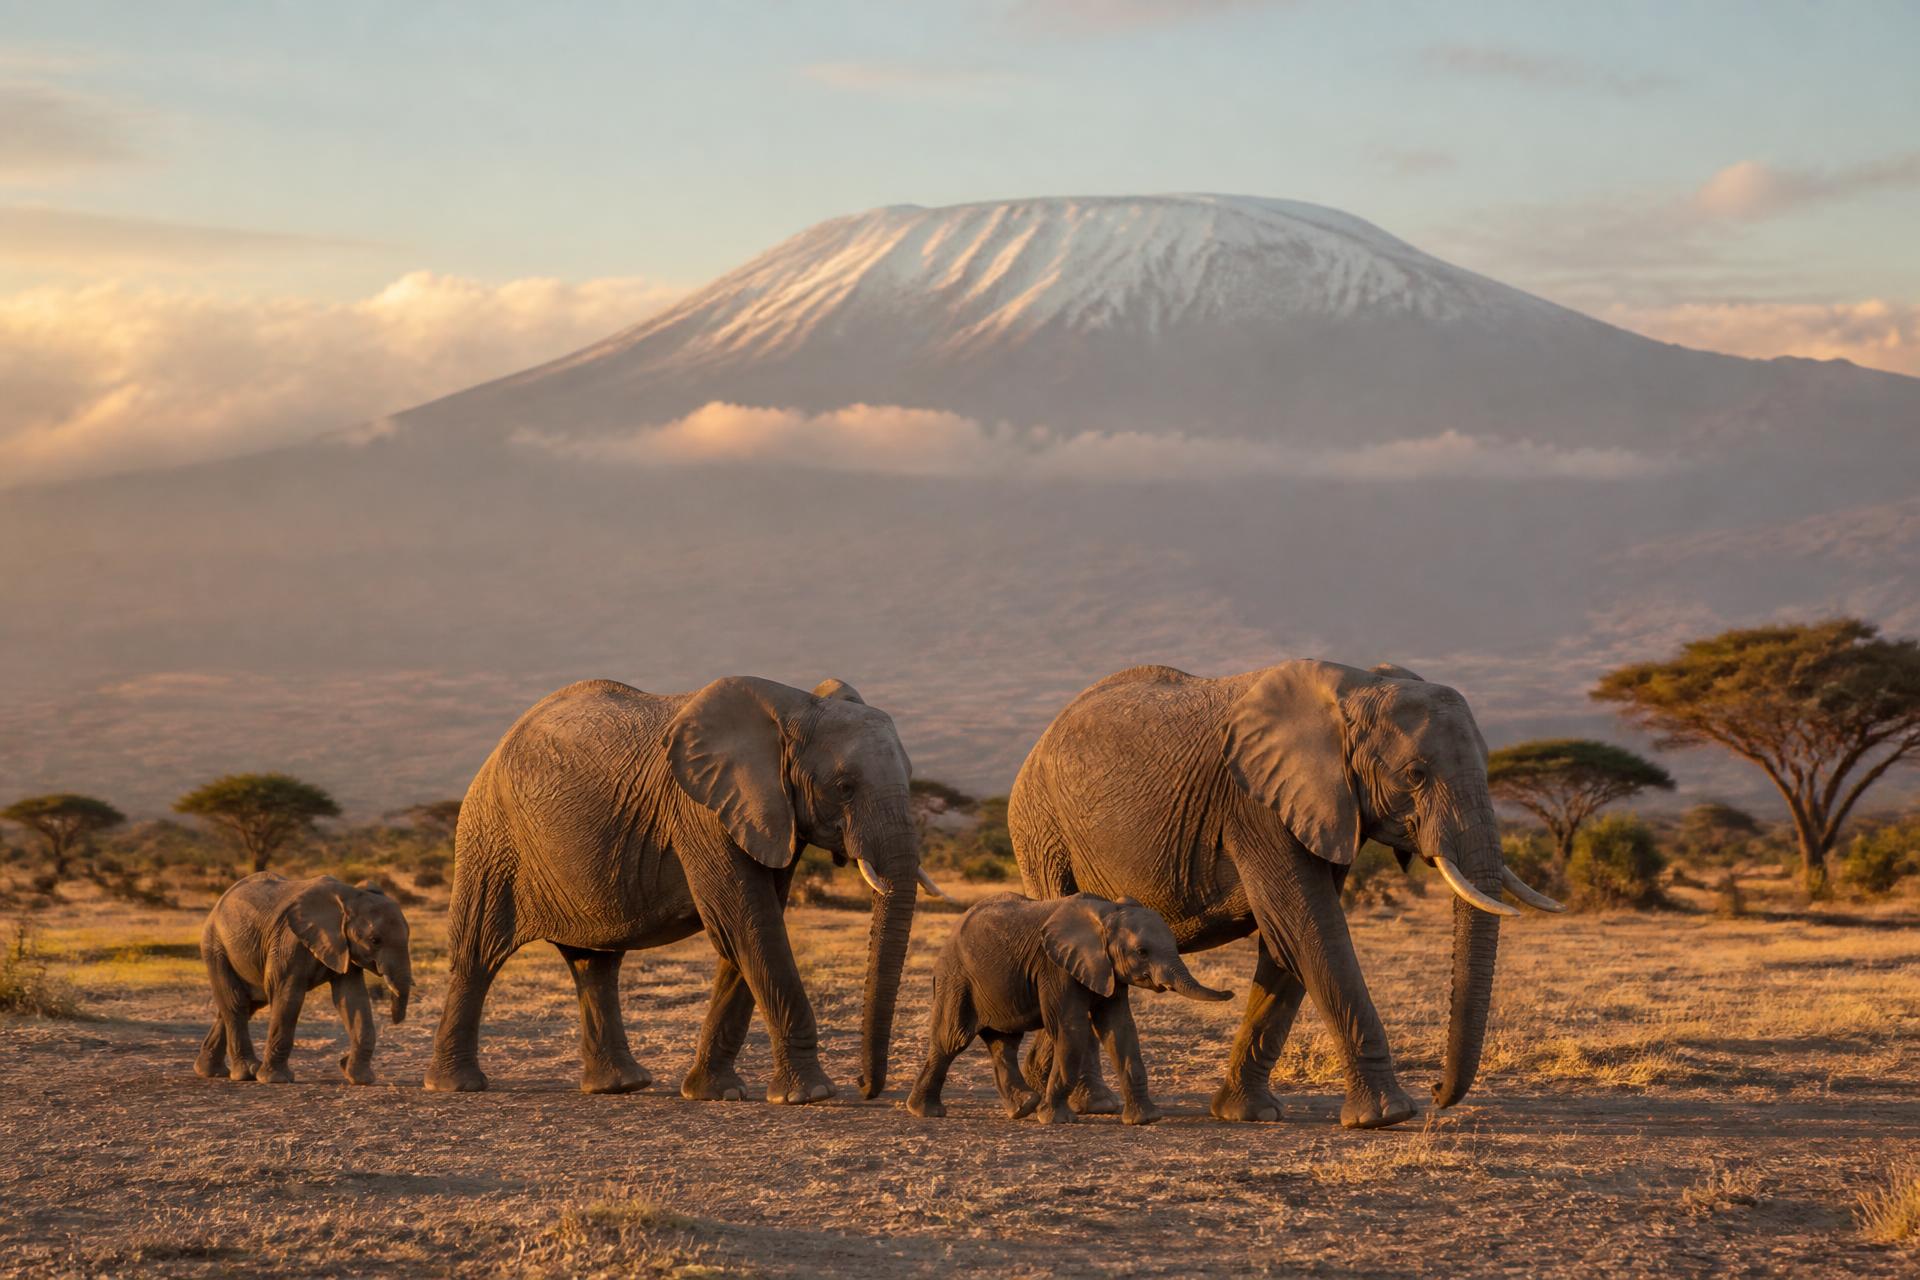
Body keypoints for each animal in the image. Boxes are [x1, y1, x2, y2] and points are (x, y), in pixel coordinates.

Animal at [197, 873, 413, 1085]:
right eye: (375, 940)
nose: (342, 1061)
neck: (349, 896)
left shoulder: (344, 947)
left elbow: (352, 998)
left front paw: (360, 1078)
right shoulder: (289, 942)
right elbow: (288, 996)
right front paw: (276, 1079)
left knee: (246, 1005)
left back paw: (210, 1072)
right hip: (216, 947)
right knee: (237, 1003)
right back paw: (246, 1072)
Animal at [424, 675, 945, 1103]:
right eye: (844, 786)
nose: (866, 1086)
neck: (797, 707)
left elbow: (750, 930)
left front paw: (715, 1093)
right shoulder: (703, 812)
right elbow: (748, 924)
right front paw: (811, 1095)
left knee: (594, 964)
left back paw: (620, 1085)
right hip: (489, 837)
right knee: (478, 955)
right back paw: (457, 1085)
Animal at [906, 892, 1231, 1125]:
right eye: (1142, 952)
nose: (1230, 992)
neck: (1107, 912)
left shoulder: (1107, 969)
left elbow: (1120, 1029)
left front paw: (1145, 1120)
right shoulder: (1055, 968)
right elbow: (1070, 1027)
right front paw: (1056, 1120)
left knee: (1004, 1043)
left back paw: (1022, 1108)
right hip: (956, 978)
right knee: (952, 1040)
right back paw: (925, 1112)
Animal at [1009, 660, 1563, 1130]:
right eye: (1415, 775)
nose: (1437, 1092)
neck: (1358, 687)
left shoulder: (1324, 808)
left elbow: (1284, 942)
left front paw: (1248, 1114)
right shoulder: (1256, 806)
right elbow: (1308, 927)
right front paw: (1387, 1116)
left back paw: (1050, 1083)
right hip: (1041, 830)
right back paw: (1084, 1101)